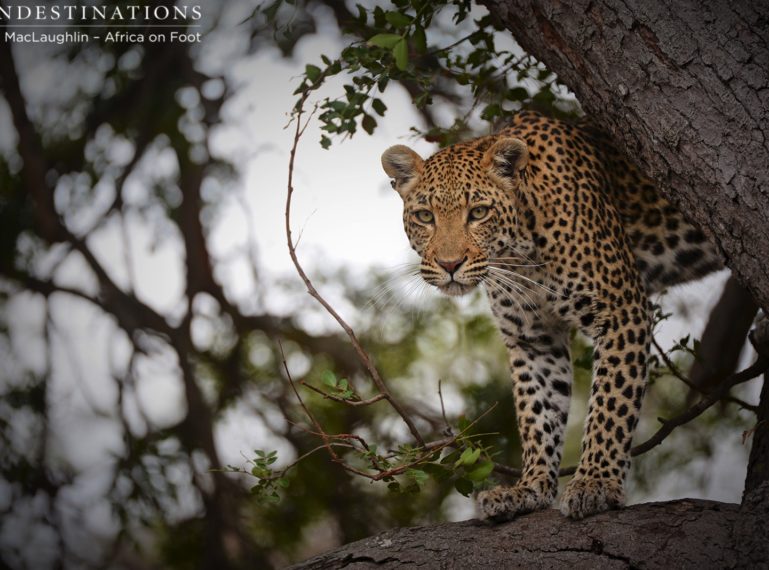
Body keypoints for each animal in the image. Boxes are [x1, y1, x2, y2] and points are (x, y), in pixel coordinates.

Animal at [380, 110, 724, 520]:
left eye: (478, 212)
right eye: (425, 216)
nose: (449, 265)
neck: (520, 256)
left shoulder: (621, 310)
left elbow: (610, 405)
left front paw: (596, 482)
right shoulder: (534, 339)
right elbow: (538, 414)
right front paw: (529, 489)